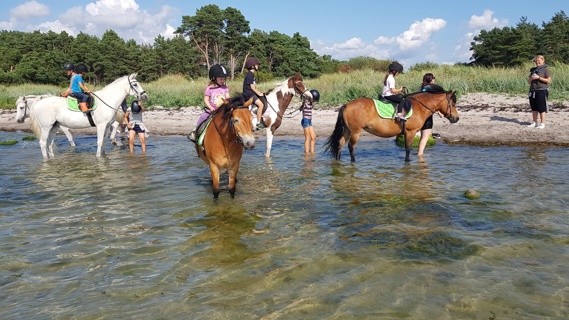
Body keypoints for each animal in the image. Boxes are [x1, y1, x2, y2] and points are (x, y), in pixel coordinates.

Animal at [322, 85, 460, 162]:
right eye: (453, 104)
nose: (456, 118)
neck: (418, 106)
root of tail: (346, 105)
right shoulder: (410, 132)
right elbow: (408, 149)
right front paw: (407, 162)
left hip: (347, 130)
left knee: (340, 143)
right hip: (355, 131)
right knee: (351, 147)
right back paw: (353, 162)